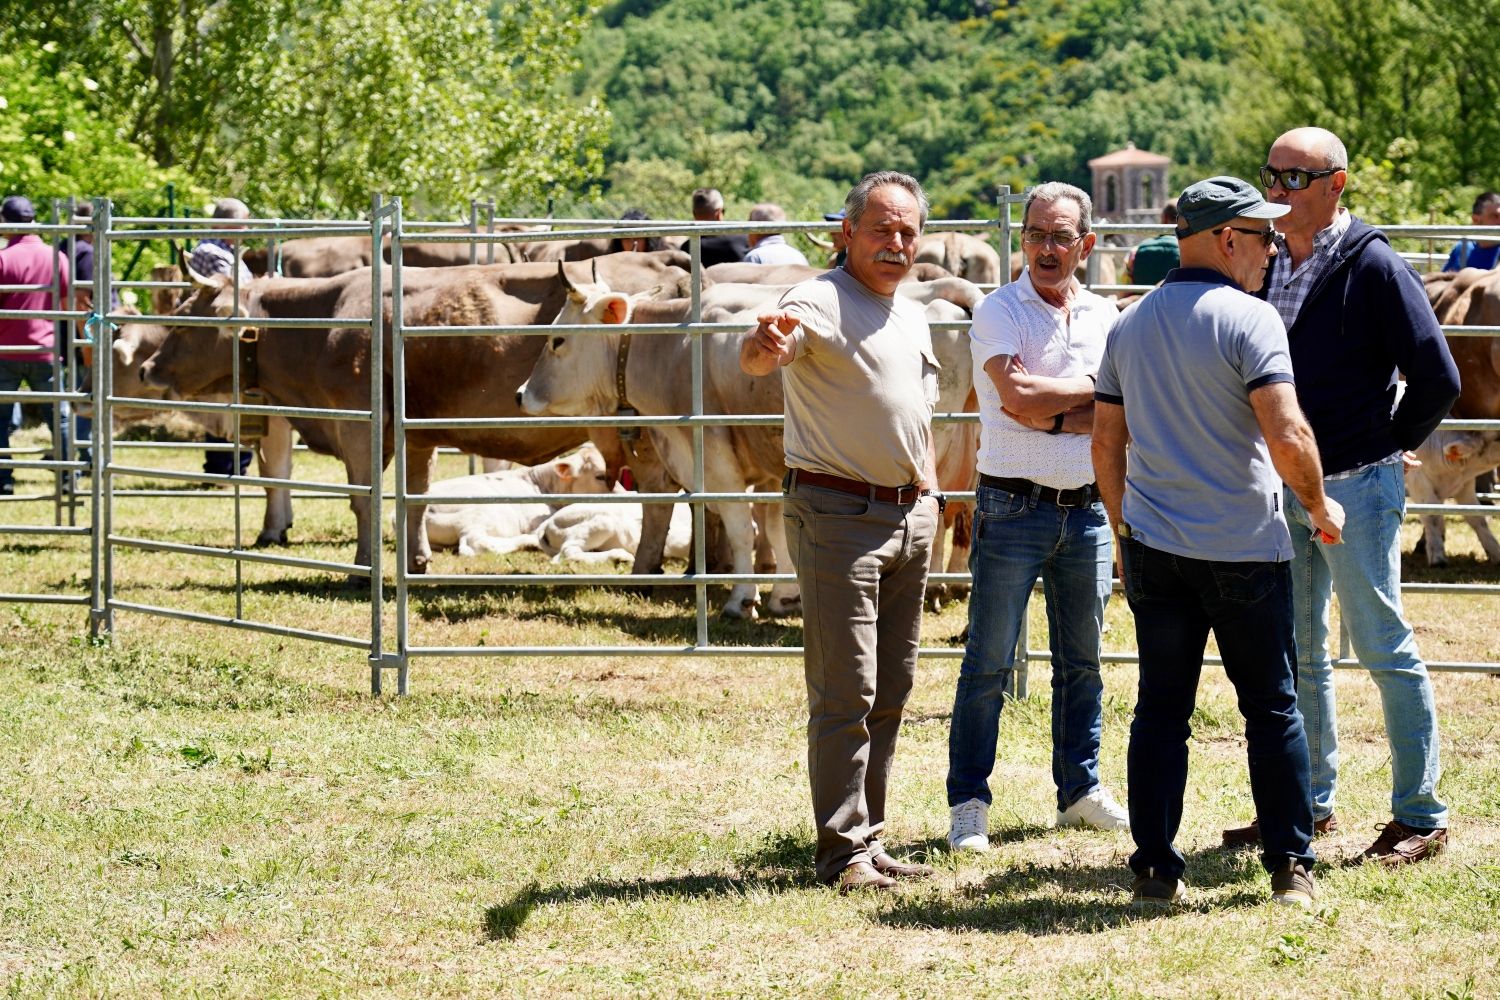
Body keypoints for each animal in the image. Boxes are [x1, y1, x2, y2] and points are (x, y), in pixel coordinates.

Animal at [1404, 428, 1500, 566]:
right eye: (1498, 438)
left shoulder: (1464, 485)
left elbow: (1477, 517)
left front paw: (1495, 551)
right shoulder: (1419, 481)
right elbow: (1432, 516)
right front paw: (1437, 556)